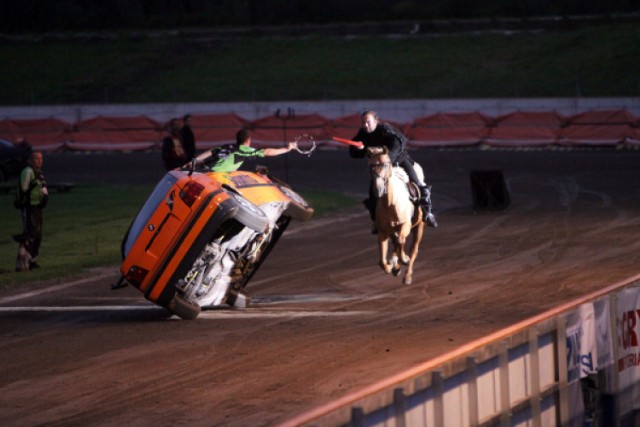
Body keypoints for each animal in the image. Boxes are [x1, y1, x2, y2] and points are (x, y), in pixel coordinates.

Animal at [364, 147, 424, 284]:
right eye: (370, 165)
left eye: (385, 164)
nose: (378, 189)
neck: (391, 203)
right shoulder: (383, 232)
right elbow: (382, 262)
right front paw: (392, 265)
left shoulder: (406, 225)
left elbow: (401, 242)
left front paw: (402, 261)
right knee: (397, 242)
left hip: (419, 227)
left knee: (413, 249)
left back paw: (407, 275)